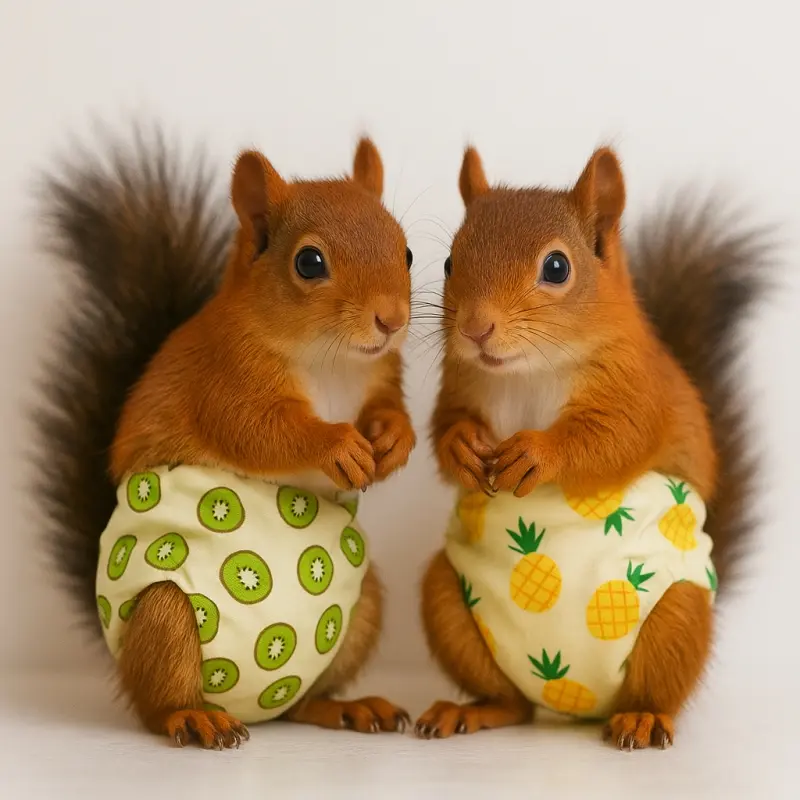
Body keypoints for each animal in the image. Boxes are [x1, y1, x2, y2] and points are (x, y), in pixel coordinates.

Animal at [36, 128, 416, 749]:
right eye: (309, 262)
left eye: (405, 251)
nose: (392, 320)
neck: (331, 360)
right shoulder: (224, 378)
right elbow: (262, 431)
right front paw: (337, 446)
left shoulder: (381, 375)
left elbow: (387, 409)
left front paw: (393, 441)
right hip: (165, 615)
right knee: (157, 703)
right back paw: (191, 718)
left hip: (364, 608)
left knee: (299, 703)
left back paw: (346, 708)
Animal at [416, 146, 768, 749]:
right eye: (448, 263)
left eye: (557, 267)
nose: (475, 329)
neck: (531, 370)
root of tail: (576, 703)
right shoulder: (460, 385)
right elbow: (444, 430)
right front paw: (462, 447)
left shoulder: (637, 390)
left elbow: (611, 439)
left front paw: (537, 453)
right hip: (448, 601)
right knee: (512, 702)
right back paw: (477, 711)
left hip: (676, 614)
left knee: (654, 687)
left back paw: (644, 717)